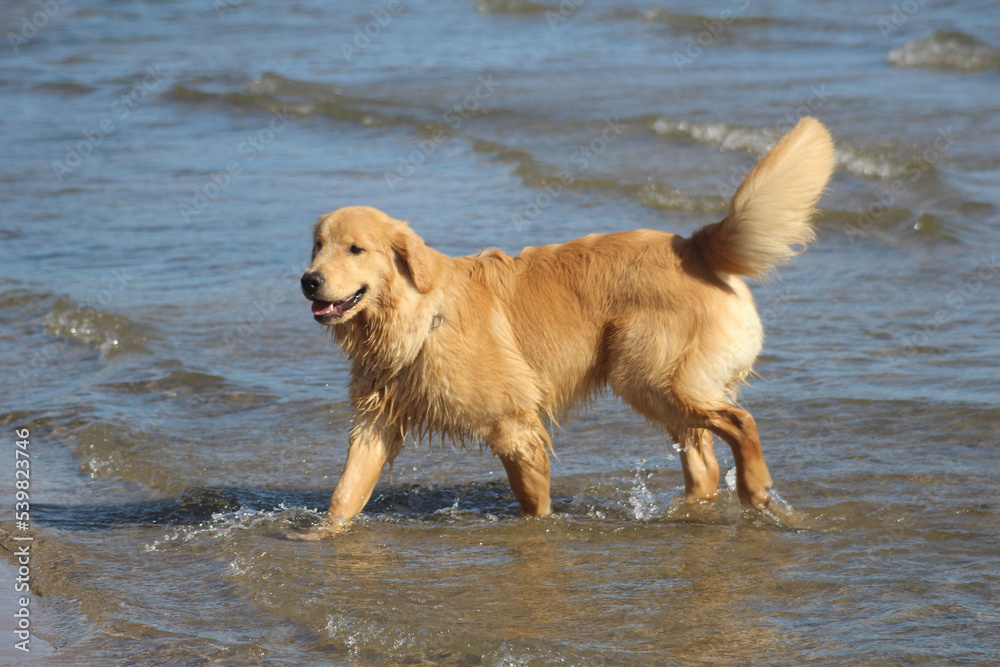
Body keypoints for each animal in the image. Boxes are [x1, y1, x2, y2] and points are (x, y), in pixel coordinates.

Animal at [300, 115, 832, 532]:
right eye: (317, 246)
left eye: (355, 249)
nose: (308, 281)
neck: (416, 316)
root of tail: (694, 246)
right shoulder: (377, 420)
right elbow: (346, 491)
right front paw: (320, 536)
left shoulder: (513, 422)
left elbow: (532, 499)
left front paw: (539, 530)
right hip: (659, 382)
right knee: (703, 461)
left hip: (651, 375)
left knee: (740, 422)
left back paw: (756, 490)